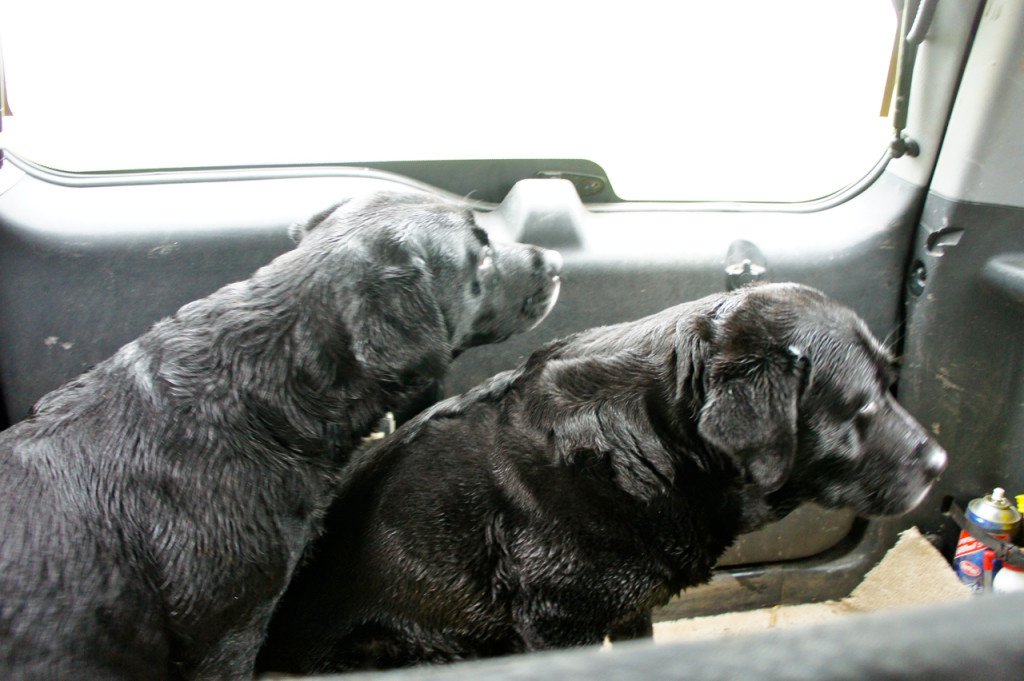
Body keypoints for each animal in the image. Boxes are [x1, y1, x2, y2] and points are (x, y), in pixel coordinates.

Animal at [260, 280, 946, 667]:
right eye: (861, 407)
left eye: (890, 382)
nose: (940, 463)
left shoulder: (630, 608)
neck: (658, 443)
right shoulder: (559, 625)